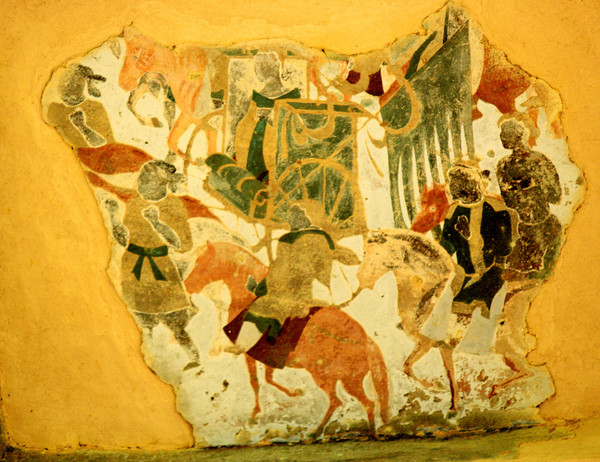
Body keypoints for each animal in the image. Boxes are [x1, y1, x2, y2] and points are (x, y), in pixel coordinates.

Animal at [184, 240, 389, 436]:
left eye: (201, 262)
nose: (187, 286)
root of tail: (366, 340)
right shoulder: (268, 356)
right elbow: (268, 379)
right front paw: (295, 393)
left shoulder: (249, 353)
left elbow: (255, 382)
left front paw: (255, 415)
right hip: (343, 380)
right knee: (356, 403)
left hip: (332, 378)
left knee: (347, 402)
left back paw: (323, 432)